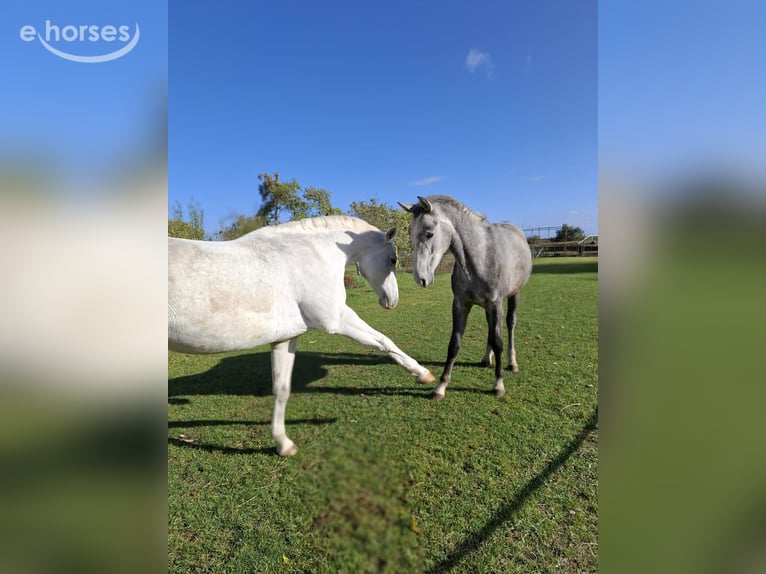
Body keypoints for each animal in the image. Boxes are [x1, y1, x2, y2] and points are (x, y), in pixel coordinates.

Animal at [168, 215, 435, 456]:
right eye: (393, 259)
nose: (392, 301)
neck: (313, 255)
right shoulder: (337, 319)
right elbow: (383, 340)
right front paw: (423, 374)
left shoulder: (285, 339)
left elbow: (282, 389)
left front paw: (283, 444)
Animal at [398, 196, 532, 400]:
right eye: (409, 232)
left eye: (429, 233)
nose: (421, 279)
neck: (481, 258)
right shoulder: (461, 304)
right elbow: (454, 344)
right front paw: (440, 387)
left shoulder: (495, 304)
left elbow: (498, 342)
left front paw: (498, 384)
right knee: (491, 329)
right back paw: (486, 359)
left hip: (513, 296)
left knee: (510, 325)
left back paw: (512, 363)